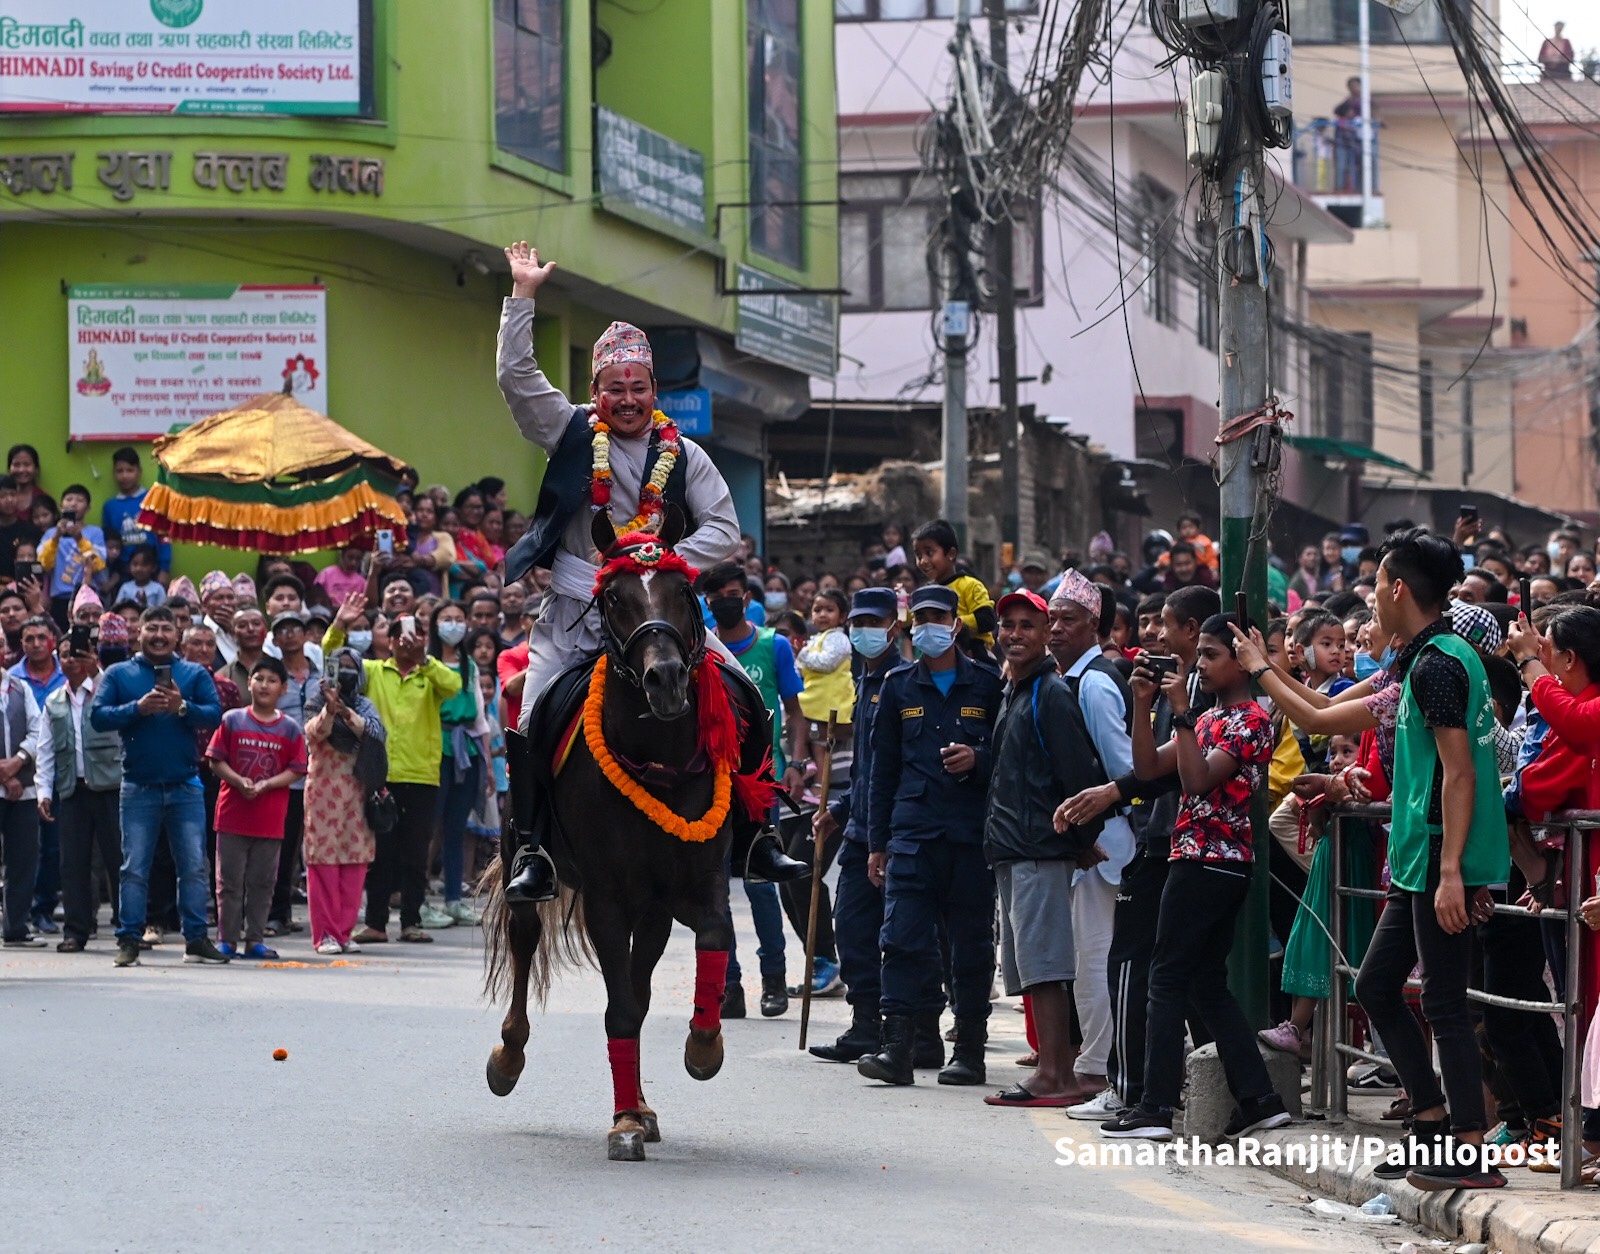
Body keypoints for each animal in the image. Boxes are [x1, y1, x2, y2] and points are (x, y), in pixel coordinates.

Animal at [483, 515, 732, 1158]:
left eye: (683, 591)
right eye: (615, 599)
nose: (665, 679)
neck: (657, 760)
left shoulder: (694, 886)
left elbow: (710, 941)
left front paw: (703, 1046)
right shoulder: (608, 899)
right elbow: (618, 1010)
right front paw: (623, 1124)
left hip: (654, 911)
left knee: (640, 991)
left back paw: (643, 1102)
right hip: (528, 860)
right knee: (525, 940)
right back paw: (508, 1057)